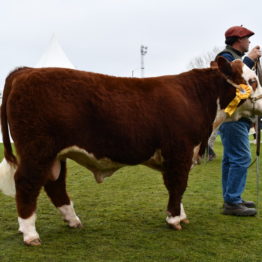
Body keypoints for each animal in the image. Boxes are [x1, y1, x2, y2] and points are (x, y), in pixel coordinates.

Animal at [0, 57, 262, 246]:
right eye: (252, 80)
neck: (196, 98)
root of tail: (26, 71)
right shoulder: (179, 150)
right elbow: (177, 184)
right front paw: (174, 219)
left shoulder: (180, 155)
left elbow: (178, 187)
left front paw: (180, 214)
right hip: (37, 150)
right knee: (27, 183)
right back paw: (30, 234)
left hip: (56, 154)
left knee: (55, 186)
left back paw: (73, 221)